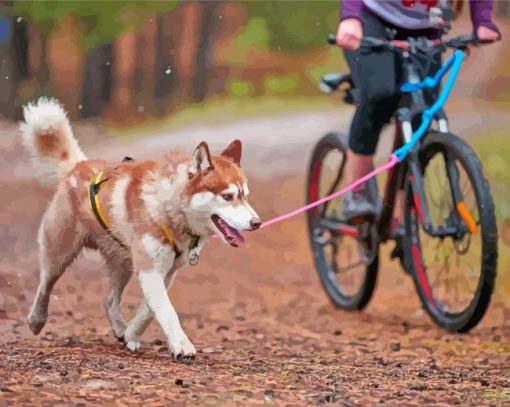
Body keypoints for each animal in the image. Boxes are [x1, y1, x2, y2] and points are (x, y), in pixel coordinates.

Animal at [20, 99, 260, 360]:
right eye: (227, 196)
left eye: (246, 196)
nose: (256, 222)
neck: (170, 209)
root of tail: (78, 165)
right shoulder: (150, 269)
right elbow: (167, 311)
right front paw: (181, 344)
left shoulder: (166, 272)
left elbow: (149, 310)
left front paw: (132, 334)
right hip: (60, 253)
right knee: (45, 285)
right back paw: (36, 319)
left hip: (123, 263)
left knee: (109, 300)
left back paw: (119, 328)